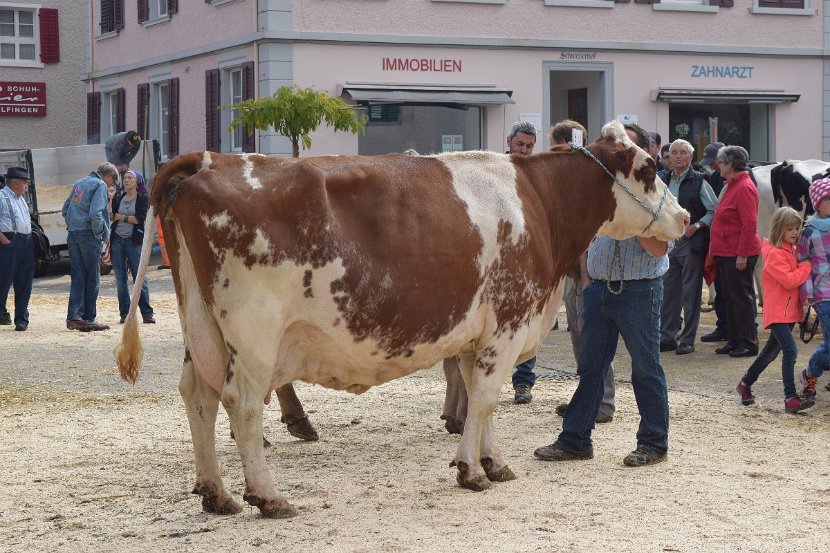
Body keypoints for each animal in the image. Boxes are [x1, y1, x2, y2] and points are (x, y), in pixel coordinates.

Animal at [117, 119, 688, 516]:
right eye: (650, 171)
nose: (684, 218)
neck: (539, 204)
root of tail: (207, 159)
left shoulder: (477, 334)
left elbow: (481, 401)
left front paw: (493, 462)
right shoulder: (507, 322)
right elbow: (486, 398)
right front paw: (471, 471)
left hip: (200, 325)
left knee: (199, 396)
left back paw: (215, 493)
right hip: (254, 334)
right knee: (243, 405)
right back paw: (269, 497)